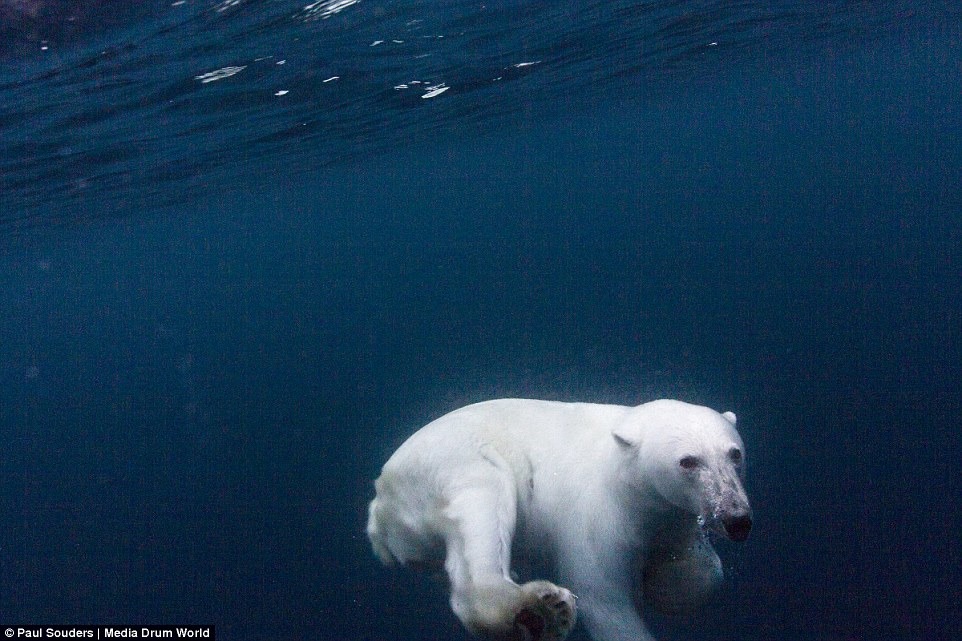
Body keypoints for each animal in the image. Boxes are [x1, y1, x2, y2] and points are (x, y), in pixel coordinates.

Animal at [364, 398, 748, 636]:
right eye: (688, 461)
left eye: (735, 454)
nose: (738, 519)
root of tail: (380, 501)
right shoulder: (600, 519)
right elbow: (603, 598)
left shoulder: (672, 519)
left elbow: (699, 577)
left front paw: (669, 581)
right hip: (451, 465)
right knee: (485, 504)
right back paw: (541, 610)